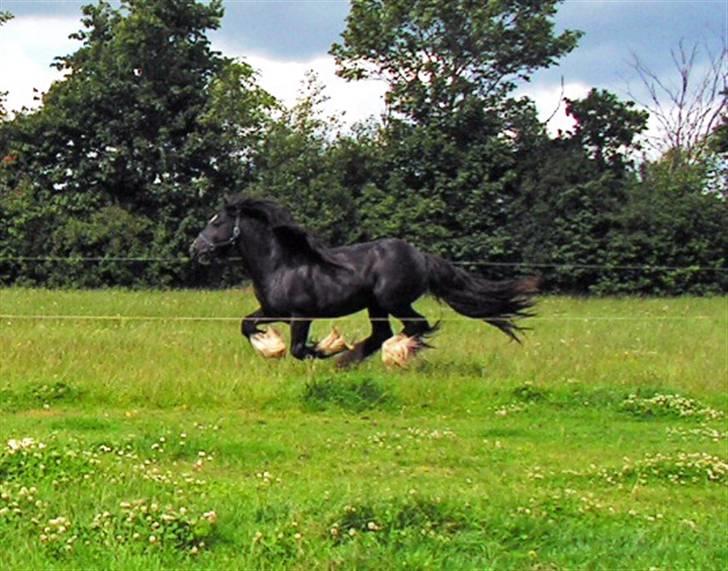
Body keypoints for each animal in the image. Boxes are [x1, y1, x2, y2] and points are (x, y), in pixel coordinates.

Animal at [189, 197, 540, 366]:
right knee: (383, 333)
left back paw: (391, 354)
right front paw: (270, 348)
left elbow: (300, 349)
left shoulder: (301, 316)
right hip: (376, 305)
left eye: (216, 223)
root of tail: (421, 256)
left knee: (417, 325)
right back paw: (353, 359)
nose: (195, 249)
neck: (280, 264)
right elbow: (246, 325)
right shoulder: (272, 310)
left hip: (393, 300)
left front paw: (328, 347)